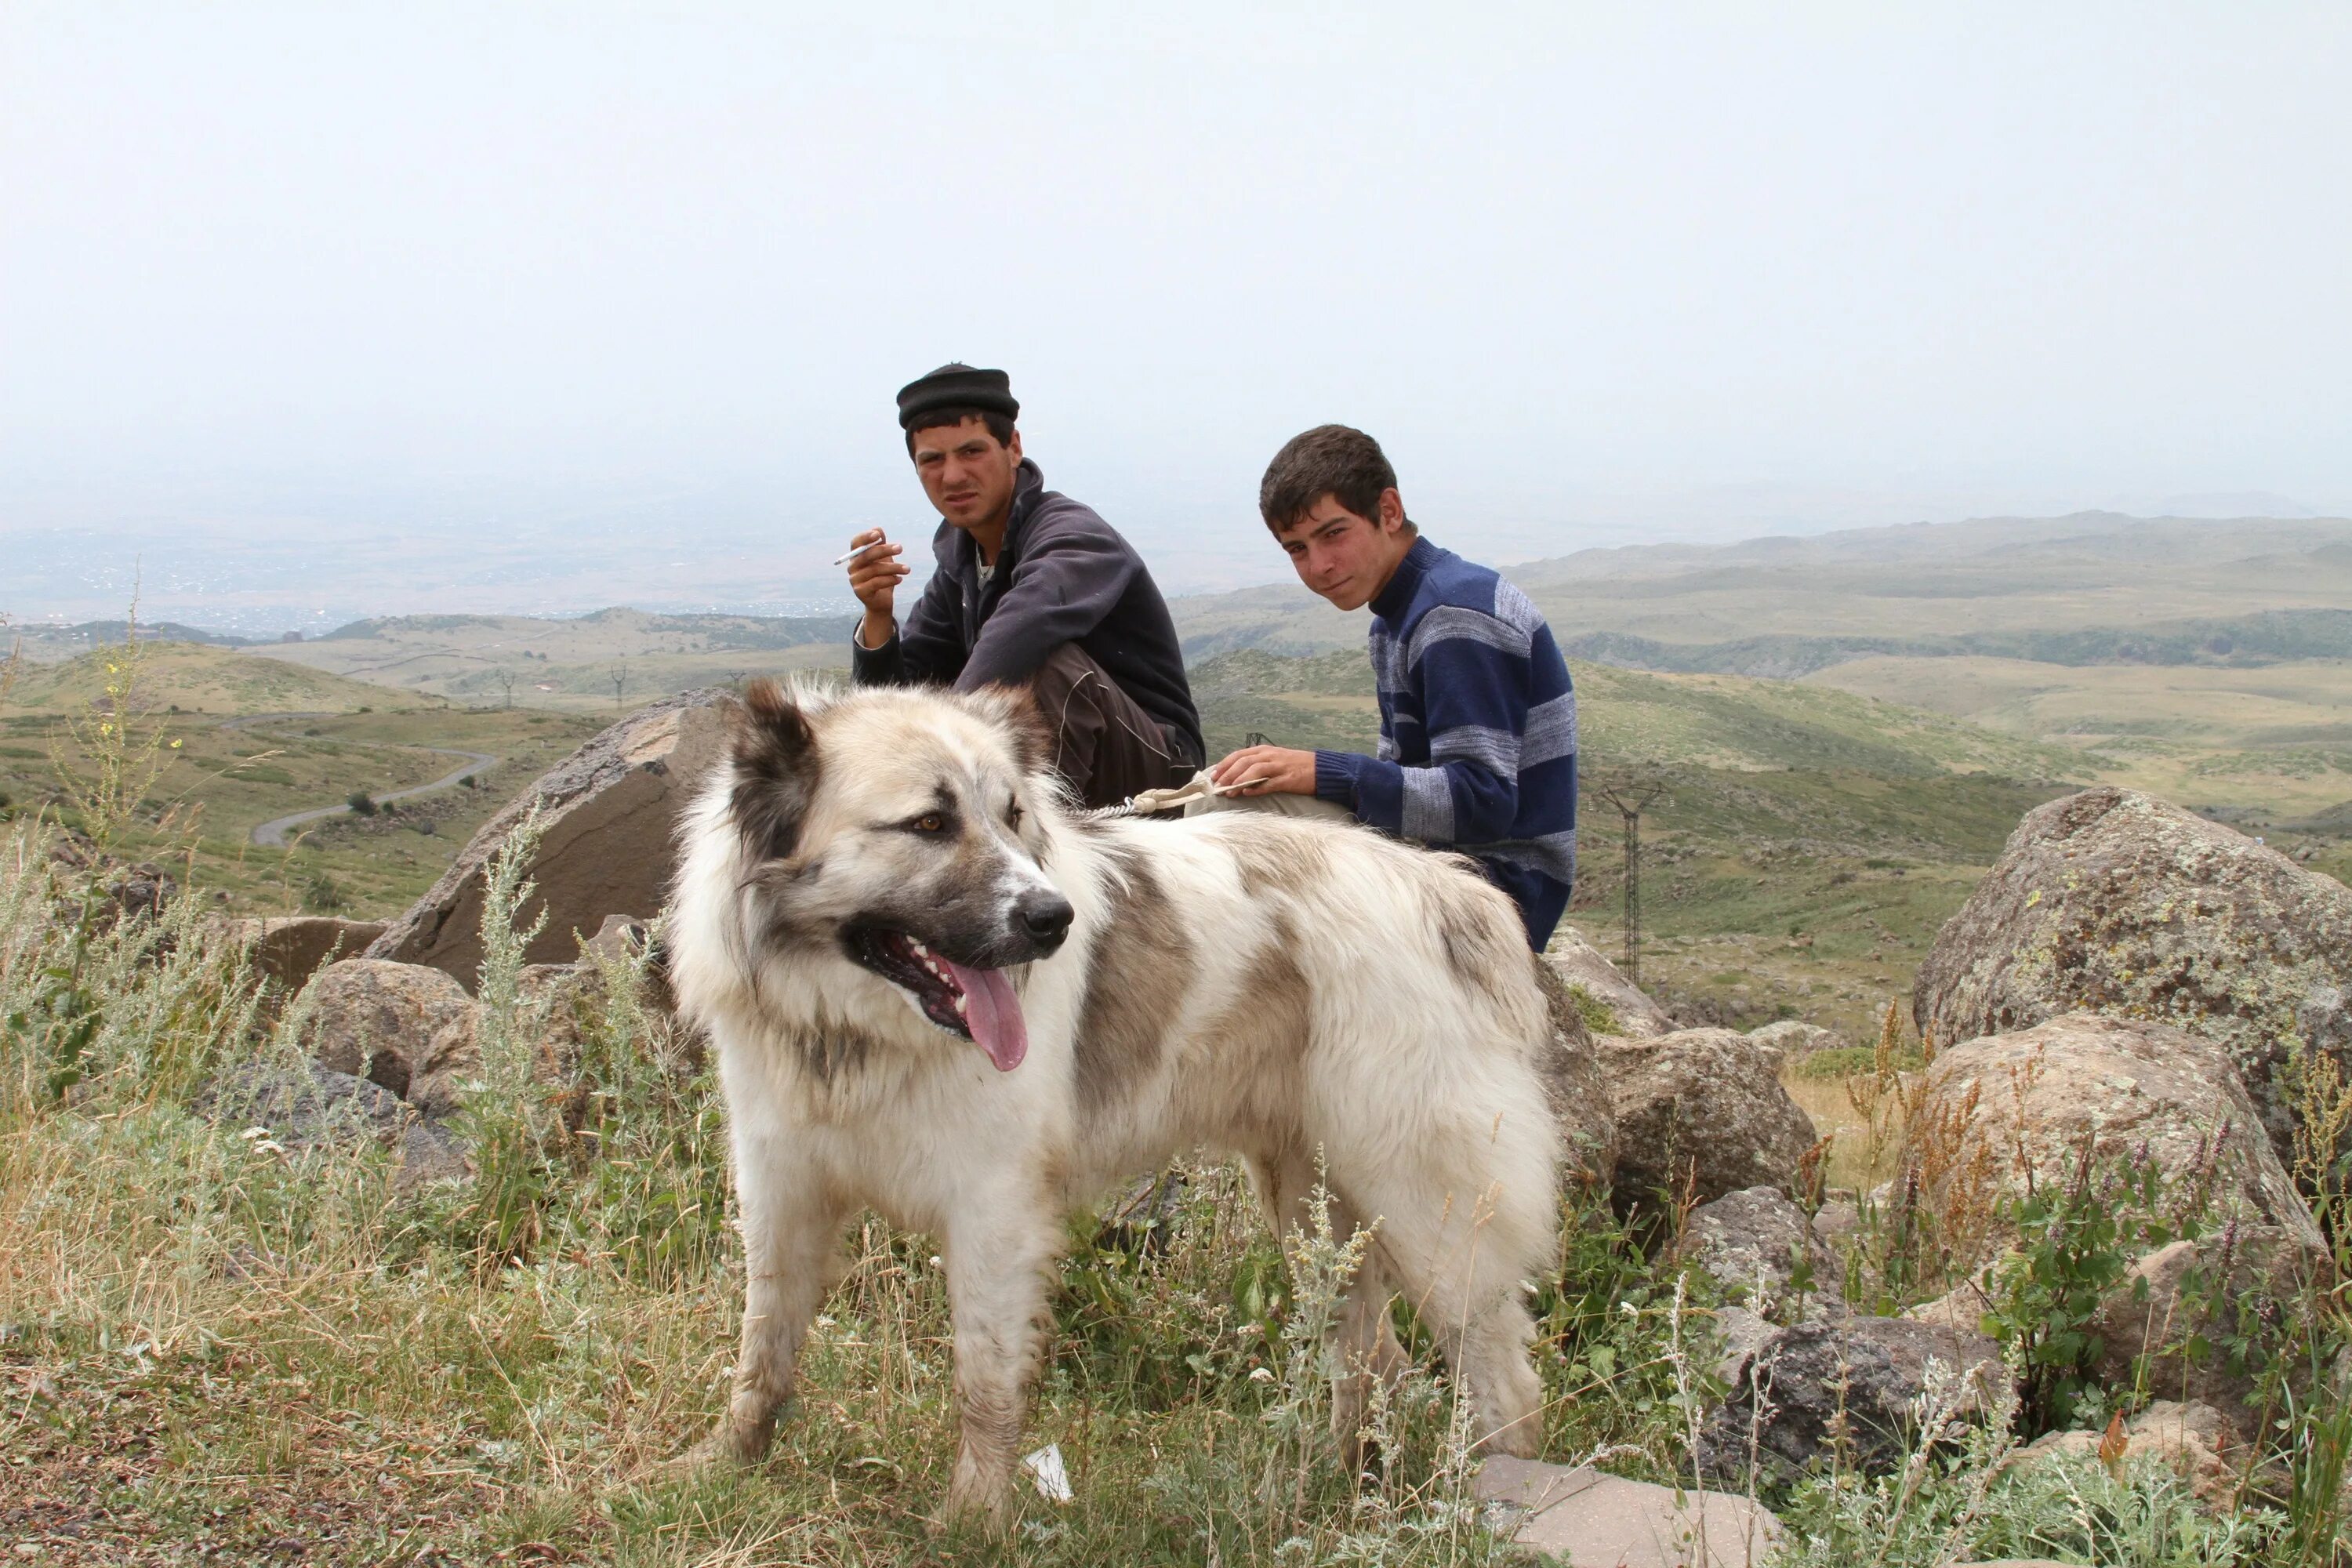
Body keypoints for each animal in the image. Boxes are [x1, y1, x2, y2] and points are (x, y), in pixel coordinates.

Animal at [668, 681, 1562, 1523]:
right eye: (927, 823)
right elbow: (763, 1345)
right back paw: (1325, 1491)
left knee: (1503, 1384)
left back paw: (1483, 1507)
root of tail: (1455, 896)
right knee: (1373, 1356)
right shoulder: (781, 1186)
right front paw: (725, 1461)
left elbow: (983, 1382)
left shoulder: (993, 1214)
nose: (1052, 918)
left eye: (1012, 815)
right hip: (1312, 1202)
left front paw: (974, 1521)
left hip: (1425, 1206)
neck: (852, 1030)